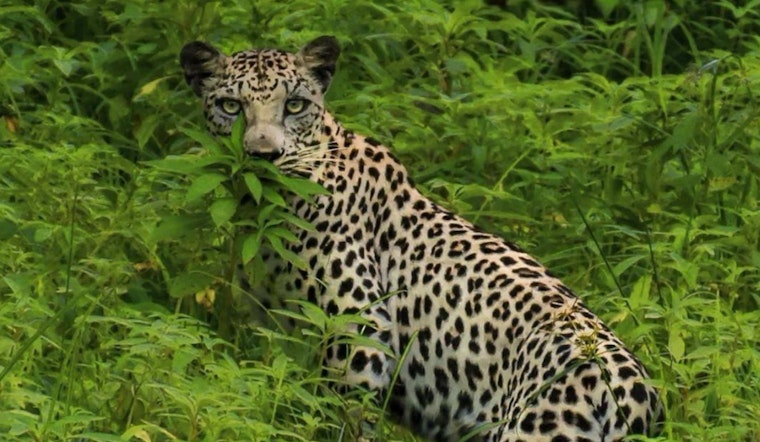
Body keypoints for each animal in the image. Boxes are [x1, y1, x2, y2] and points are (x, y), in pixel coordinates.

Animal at [180, 35, 662, 442]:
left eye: (294, 105)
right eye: (230, 106)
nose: (263, 156)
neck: (263, 208)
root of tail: (638, 398)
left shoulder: (361, 335)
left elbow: (346, 421)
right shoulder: (277, 332)